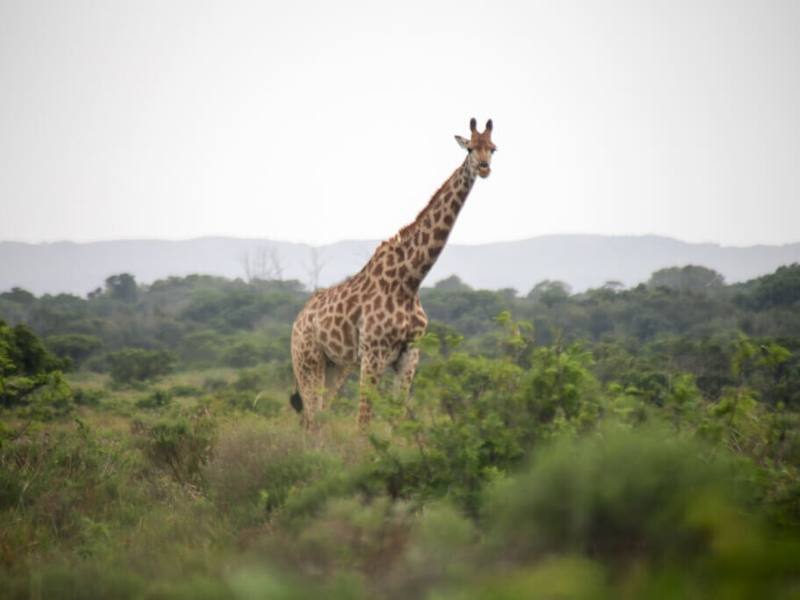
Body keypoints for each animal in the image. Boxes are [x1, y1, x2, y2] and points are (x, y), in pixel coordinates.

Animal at [290, 117, 496, 428]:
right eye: (470, 148)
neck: (410, 281)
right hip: (308, 360)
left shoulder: (409, 355)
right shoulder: (373, 354)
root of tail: (297, 321)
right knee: (312, 418)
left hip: (335, 367)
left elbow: (398, 420)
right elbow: (363, 422)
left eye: (493, 148)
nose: (484, 168)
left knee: (319, 419)